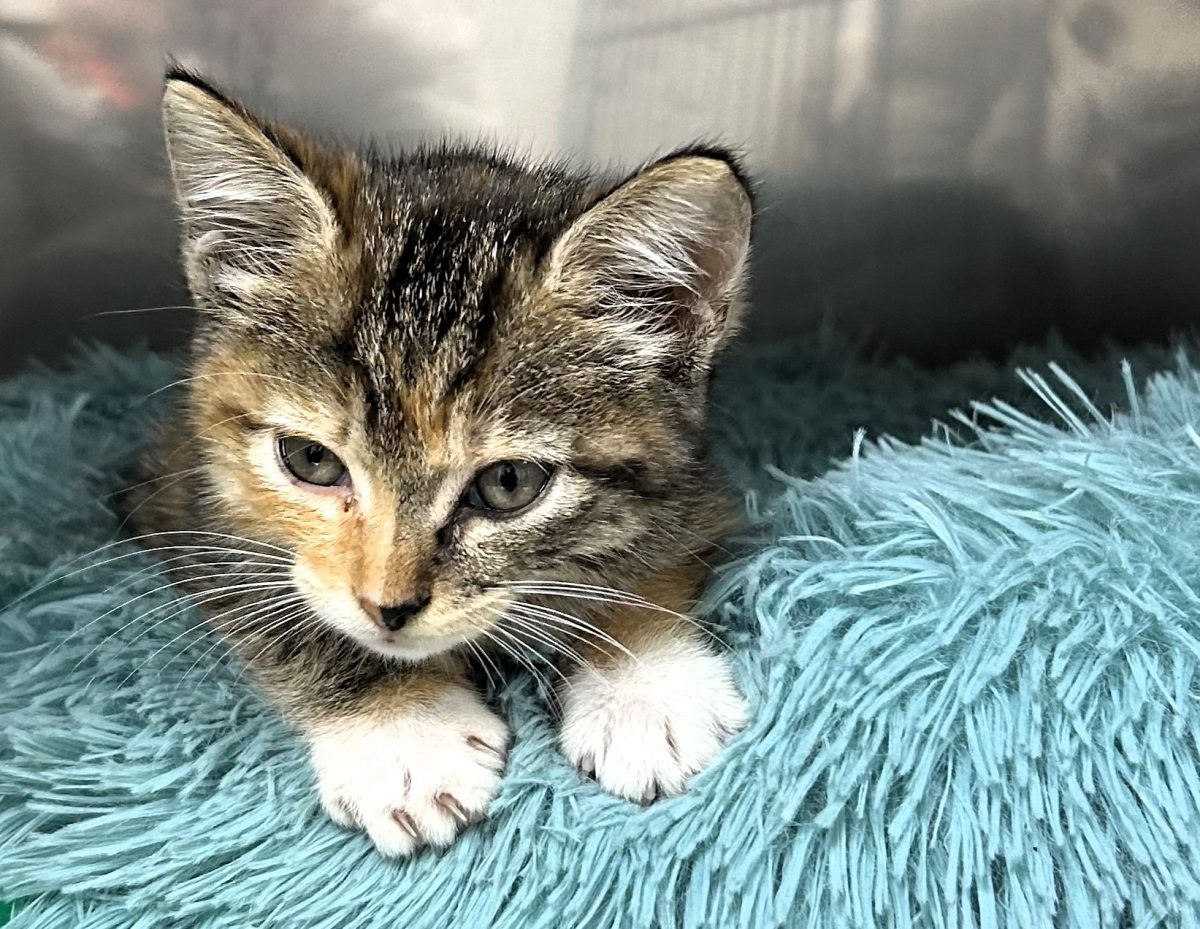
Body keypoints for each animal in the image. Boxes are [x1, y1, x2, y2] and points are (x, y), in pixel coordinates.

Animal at [131, 69, 748, 864]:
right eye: (310, 460)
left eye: (508, 484)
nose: (387, 608)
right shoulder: (186, 500)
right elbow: (286, 613)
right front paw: (403, 730)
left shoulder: (697, 482)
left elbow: (653, 554)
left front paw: (641, 682)